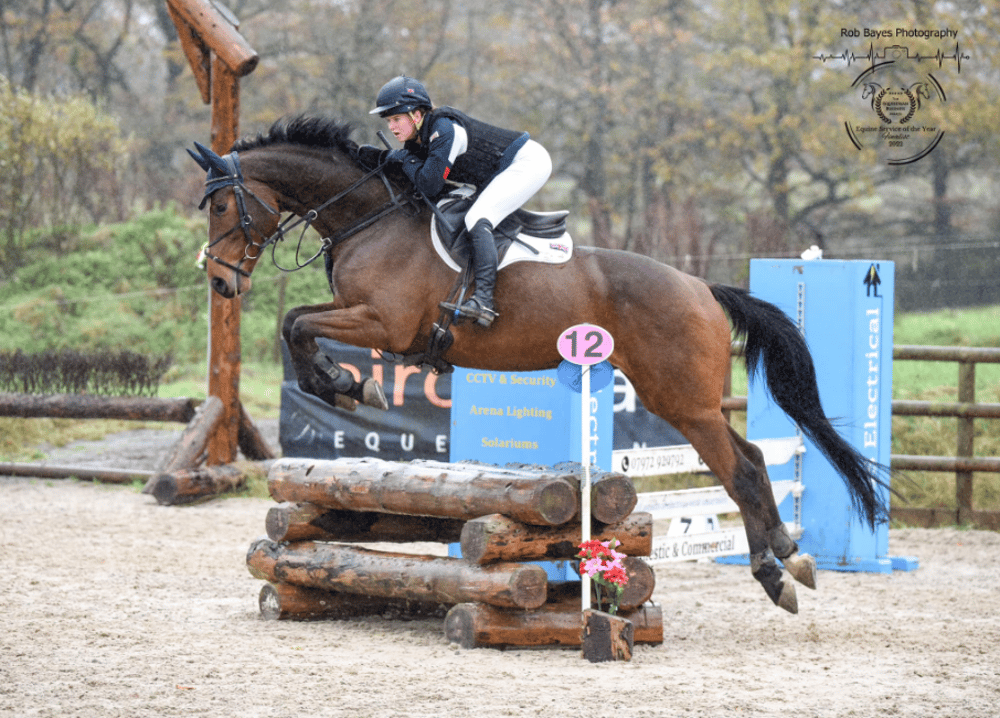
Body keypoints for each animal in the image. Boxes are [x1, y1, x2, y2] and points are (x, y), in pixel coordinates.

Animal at [189, 115, 892, 616]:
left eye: (222, 207)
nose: (221, 282)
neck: (369, 217)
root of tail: (702, 288)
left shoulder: (382, 323)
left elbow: (297, 325)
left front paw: (344, 386)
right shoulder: (358, 315)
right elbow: (296, 323)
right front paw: (346, 384)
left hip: (680, 400)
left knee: (740, 468)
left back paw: (777, 571)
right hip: (689, 400)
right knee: (748, 458)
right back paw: (788, 557)